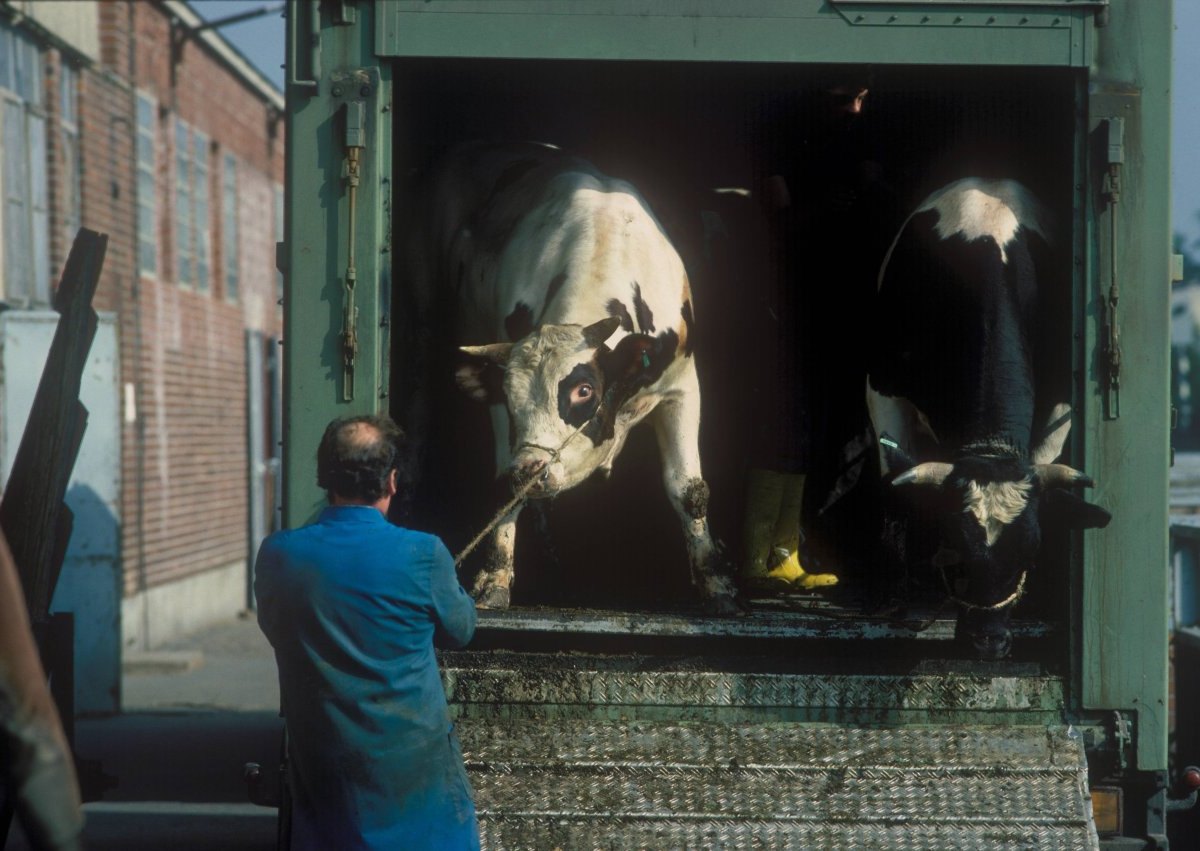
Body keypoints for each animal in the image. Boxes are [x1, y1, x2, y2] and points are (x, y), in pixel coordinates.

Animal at [403, 142, 739, 614]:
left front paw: (717, 584)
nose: (532, 469)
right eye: (510, 396)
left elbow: (689, 490)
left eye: (584, 390)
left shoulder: (682, 386)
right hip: (422, 312)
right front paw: (493, 578)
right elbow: (505, 488)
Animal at [868, 177, 1108, 657]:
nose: (989, 642)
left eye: (1030, 552)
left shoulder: (1058, 407)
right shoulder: (882, 386)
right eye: (956, 548)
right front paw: (892, 594)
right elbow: (892, 487)